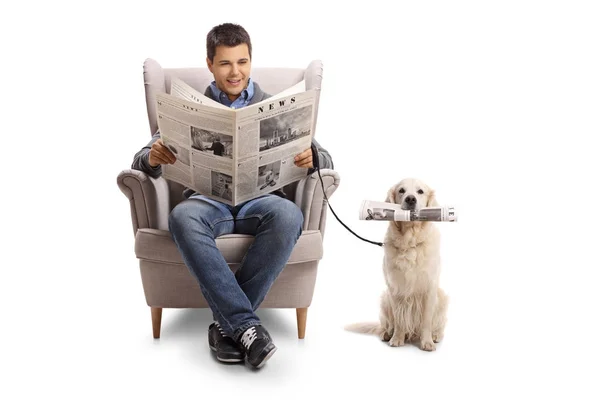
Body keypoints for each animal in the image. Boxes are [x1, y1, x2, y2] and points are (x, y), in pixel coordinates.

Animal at [344, 178, 448, 350]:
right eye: (401, 191)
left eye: (420, 191)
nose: (411, 199)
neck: (410, 241)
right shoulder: (395, 288)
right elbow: (399, 318)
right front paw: (397, 338)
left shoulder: (429, 287)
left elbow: (426, 320)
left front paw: (427, 342)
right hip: (385, 299)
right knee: (387, 324)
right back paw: (387, 333)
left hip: (442, 297)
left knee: (438, 325)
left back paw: (436, 336)